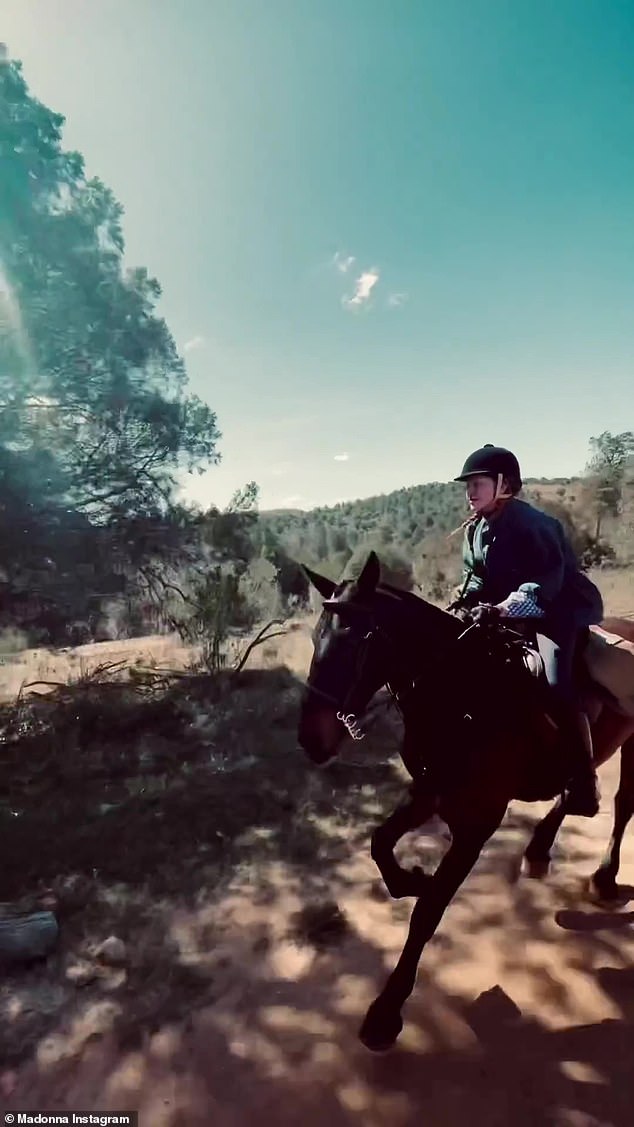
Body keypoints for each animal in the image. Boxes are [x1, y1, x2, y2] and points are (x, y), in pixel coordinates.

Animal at [297, 549, 634, 1050]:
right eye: (315, 636)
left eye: (357, 642)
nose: (311, 739)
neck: (464, 695)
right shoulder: (430, 792)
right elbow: (380, 844)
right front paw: (410, 879)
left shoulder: (477, 822)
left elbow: (428, 912)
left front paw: (385, 1012)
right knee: (575, 795)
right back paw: (541, 848)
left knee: (623, 803)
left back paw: (604, 877)